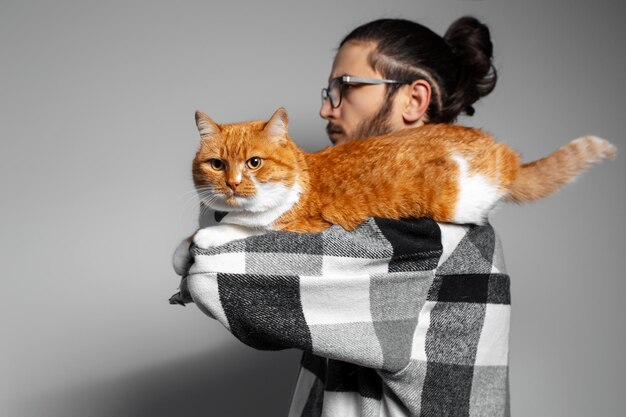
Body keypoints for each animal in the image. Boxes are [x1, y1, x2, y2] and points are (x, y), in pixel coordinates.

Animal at [186, 108, 616, 250]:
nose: (233, 184)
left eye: (254, 163)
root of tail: (504, 154)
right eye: (218, 165)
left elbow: (245, 227)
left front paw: (208, 234)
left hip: (458, 201)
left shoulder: (301, 224)